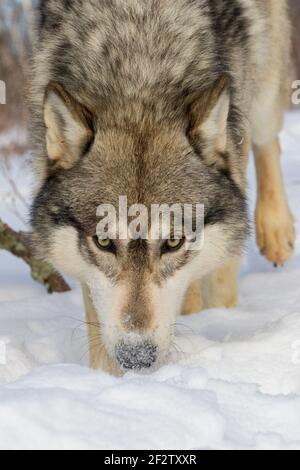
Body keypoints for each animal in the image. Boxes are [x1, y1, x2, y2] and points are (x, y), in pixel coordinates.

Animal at [29, 0, 296, 374]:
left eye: (173, 242)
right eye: (104, 242)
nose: (136, 356)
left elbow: (220, 278)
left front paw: (221, 318)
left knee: (268, 136)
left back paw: (275, 232)